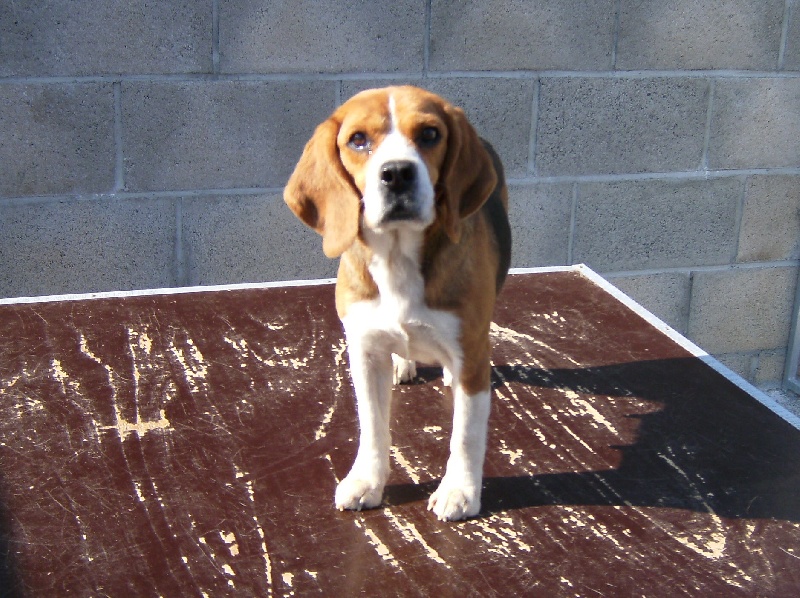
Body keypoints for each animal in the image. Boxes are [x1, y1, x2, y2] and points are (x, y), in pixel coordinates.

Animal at [286, 86, 512, 524]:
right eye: (358, 139)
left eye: (429, 134)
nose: (397, 173)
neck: (397, 258)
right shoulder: (364, 352)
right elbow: (373, 426)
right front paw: (367, 481)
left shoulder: (472, 357)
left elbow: (466, 433)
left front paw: (459, 490)